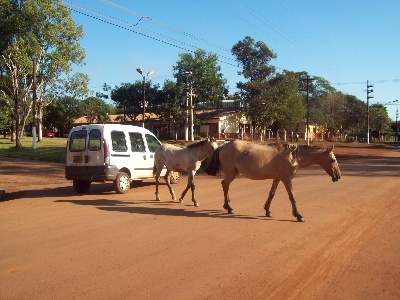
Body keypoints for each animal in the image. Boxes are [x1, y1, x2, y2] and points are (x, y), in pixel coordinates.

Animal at [206, 139, 340, 221]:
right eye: (333, 160)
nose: (338, 176)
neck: (292, 157)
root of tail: (224, 146)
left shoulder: (277, 179)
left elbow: (272, 194)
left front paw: (267, 210)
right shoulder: (287, 179)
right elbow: (292, 197)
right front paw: (298, 215)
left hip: (235, 172)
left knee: (225, 184)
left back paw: (227, 206)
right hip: (230, 171)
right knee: (226, 185)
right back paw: (229, 207)